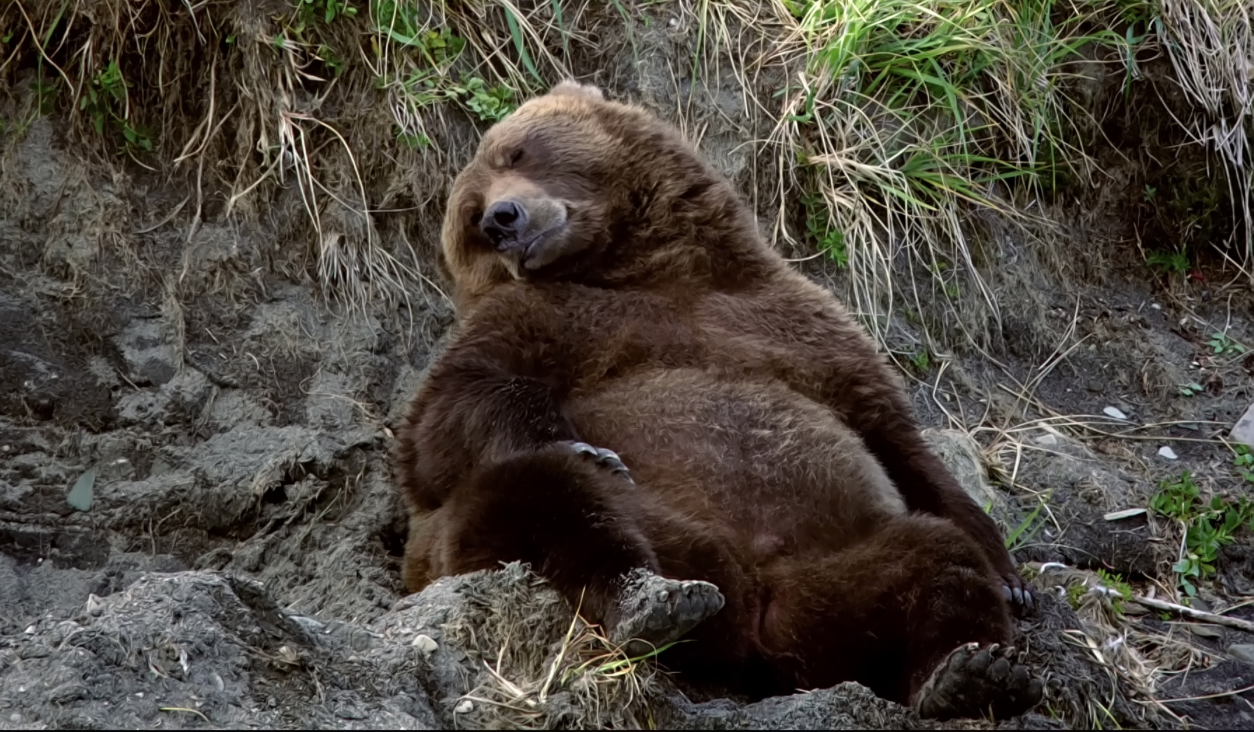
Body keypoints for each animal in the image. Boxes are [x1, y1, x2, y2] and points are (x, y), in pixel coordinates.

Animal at [396, 80, 1043, 721]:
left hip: (836, 567)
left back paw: (972, 670)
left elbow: (897, 441)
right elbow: (442, 424)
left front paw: (1014, 582)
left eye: (517, 152)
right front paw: (575, 442)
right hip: (651, 531)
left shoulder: (799, 327)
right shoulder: (541, 318)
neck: (648, 268)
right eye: (471, 218)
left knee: (935, 554)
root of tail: (756, 612)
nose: (501, 219)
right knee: (544, 489)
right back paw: (652, 600)